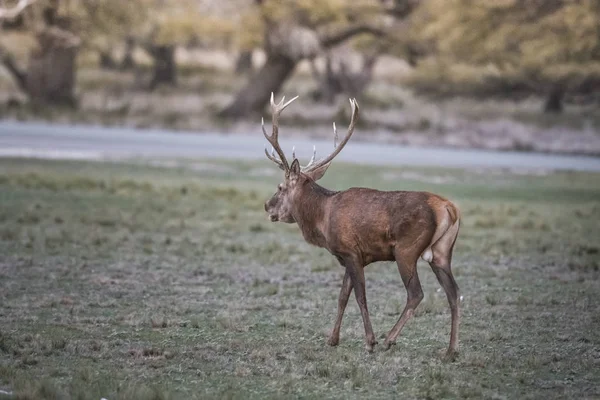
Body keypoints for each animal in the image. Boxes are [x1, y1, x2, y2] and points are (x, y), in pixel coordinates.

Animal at [260, 94, 462, 360]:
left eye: (280, 187)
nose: (267, 206)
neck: (323, 218)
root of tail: (449, 209)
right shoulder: (349, 255)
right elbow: (342, 296)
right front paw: (332, 339)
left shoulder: (351, 251)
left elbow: (360, 296)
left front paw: (369, 341)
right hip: (441, 252)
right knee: (454, 293)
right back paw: (450, 350)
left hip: (406, 250)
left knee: (416, 293)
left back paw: (389, 339)